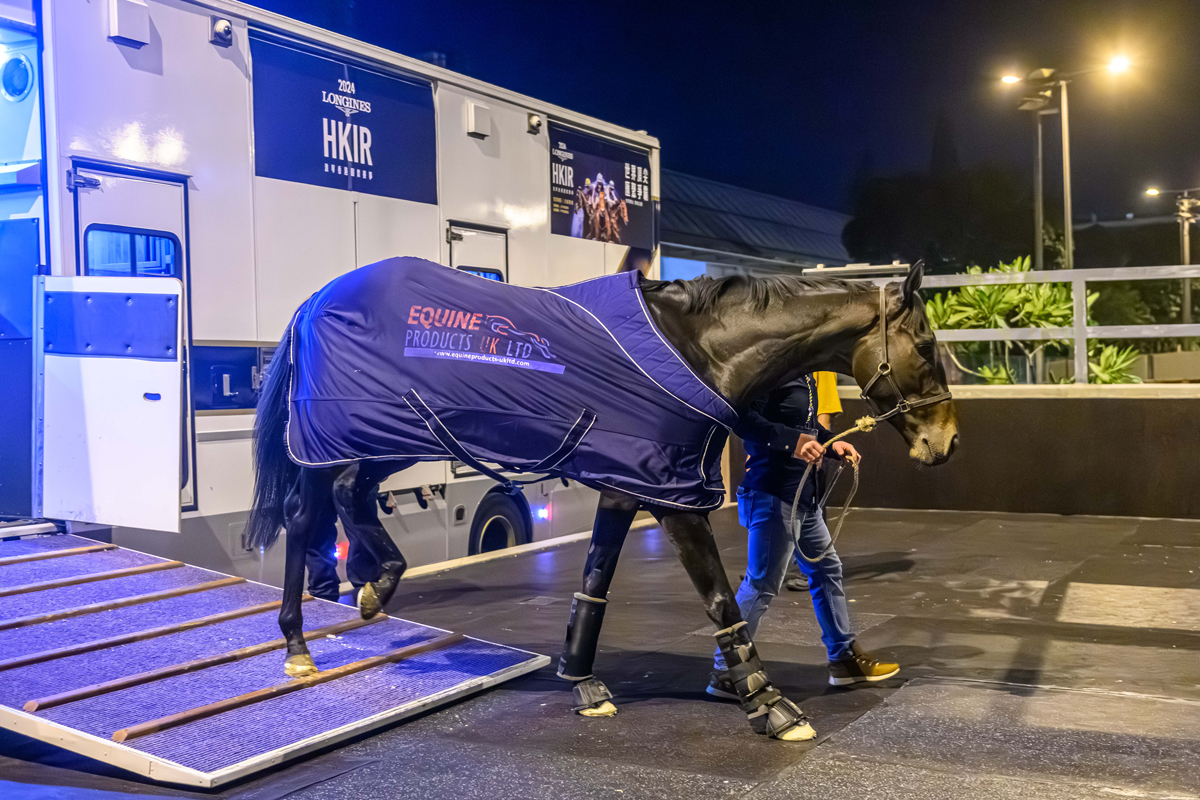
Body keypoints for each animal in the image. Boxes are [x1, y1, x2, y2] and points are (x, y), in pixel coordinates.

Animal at [241, 262, 955, 743]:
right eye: (925, 346)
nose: (944, 442)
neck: (696, 348)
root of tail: (314, 300)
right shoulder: (673, 500)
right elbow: (721, 600)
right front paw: (768, 703)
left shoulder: (627, 486)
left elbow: (595, 583)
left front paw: (583, 680)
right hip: (350, 432)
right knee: (316, 509)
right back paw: (312, 630)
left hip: (394, 435)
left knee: (341, 500)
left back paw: (363, 592)